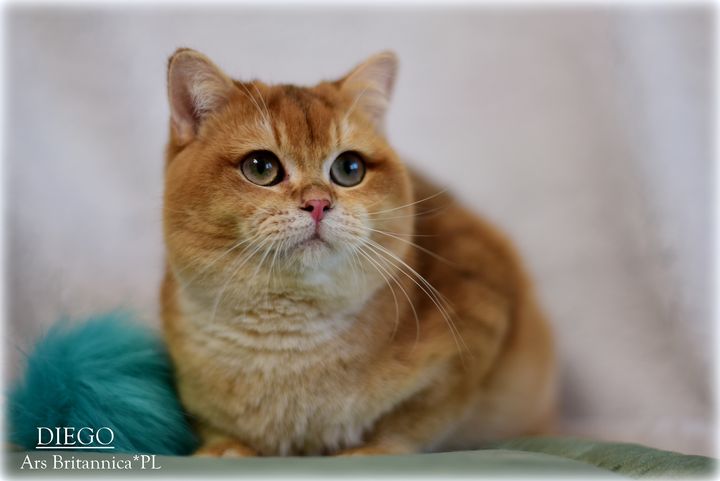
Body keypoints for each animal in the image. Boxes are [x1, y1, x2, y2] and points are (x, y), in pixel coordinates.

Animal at [161, 48, 556, 457]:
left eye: (349, 168)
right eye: (261, 167)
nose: (318, 203)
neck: (289, 341)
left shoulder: (480, 325)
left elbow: (414, 418)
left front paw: (373, 449)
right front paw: (227, 446)